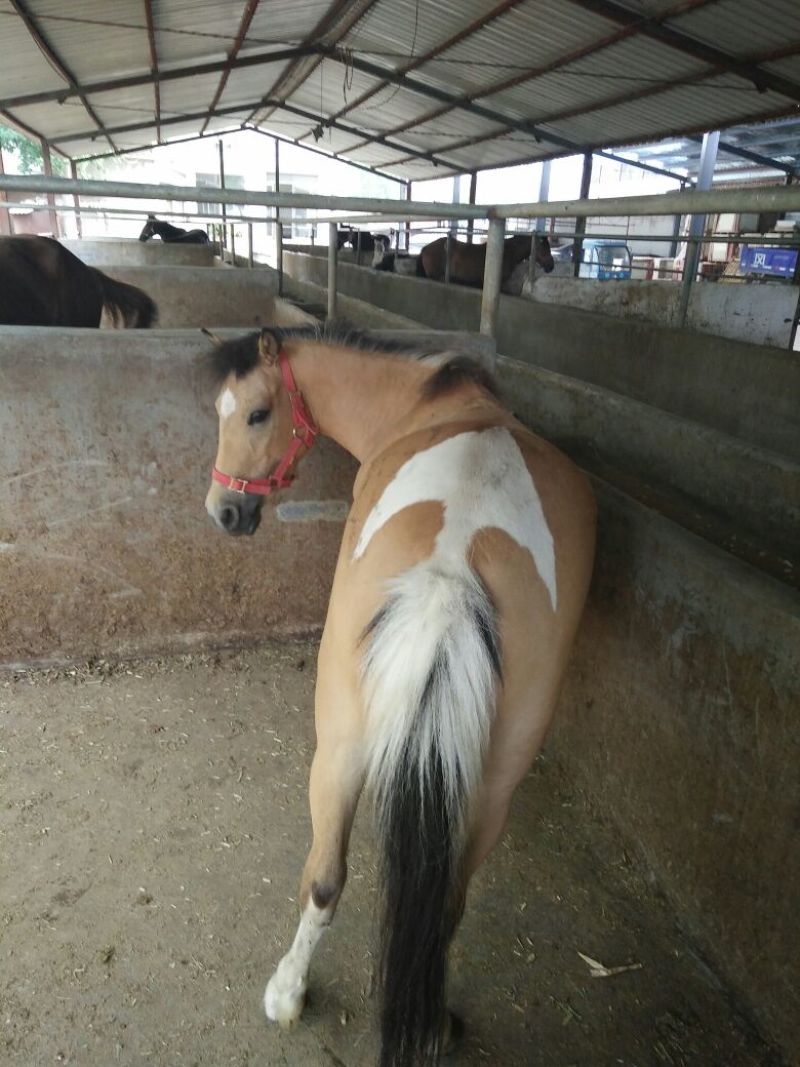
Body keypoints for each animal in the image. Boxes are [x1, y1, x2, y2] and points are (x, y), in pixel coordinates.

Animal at [203, 324, 595, 1066]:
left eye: (258, 413)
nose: (225, 511)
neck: (428, 401)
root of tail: (449, 580)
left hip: (339, 750)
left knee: (325, 876)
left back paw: (287, 991)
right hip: (491, 784)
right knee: (447, 901)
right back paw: (433, 1021)